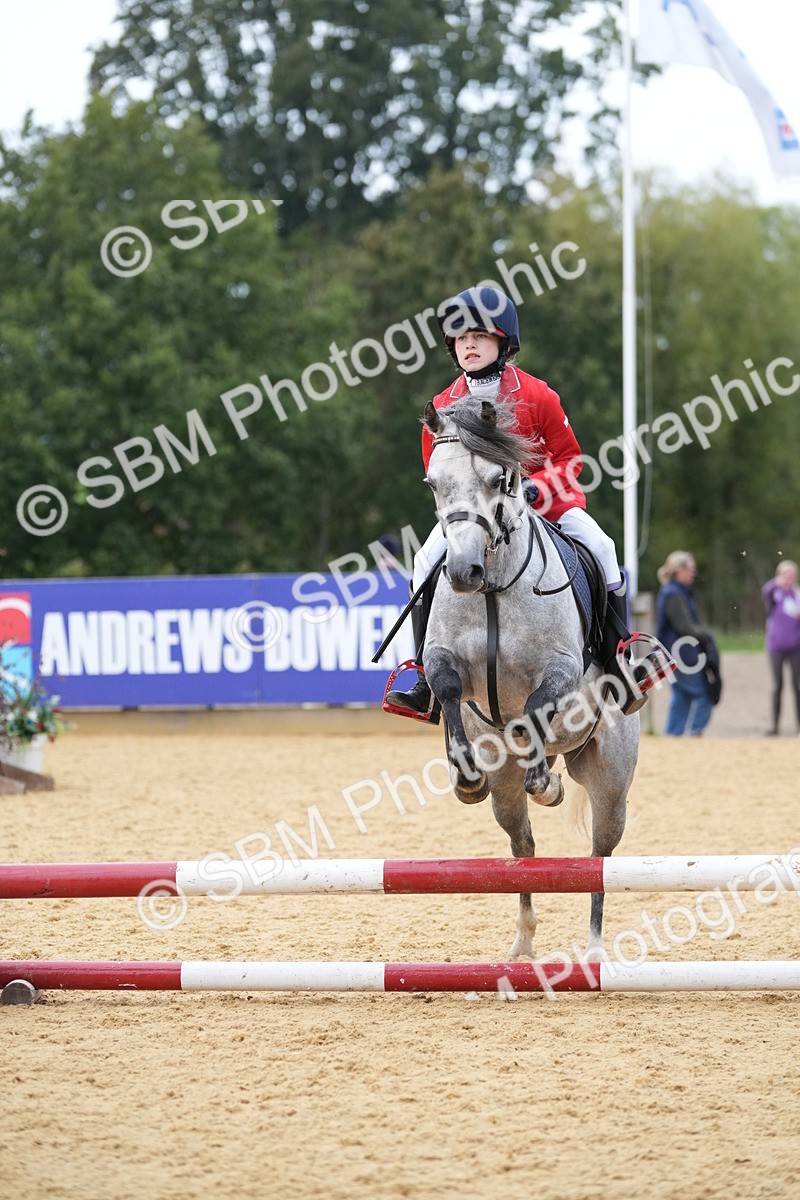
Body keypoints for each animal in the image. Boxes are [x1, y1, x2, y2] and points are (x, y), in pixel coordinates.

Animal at [421, 396, 639, 960]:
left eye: (499, 479)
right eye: (434, 482)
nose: (463, 572)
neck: (494, 589)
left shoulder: (559, 669)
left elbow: (535, 708)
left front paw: (546, 782)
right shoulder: (443, 661)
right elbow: (448, 691)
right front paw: (464, 774)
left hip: (612, 785)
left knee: (597, 860)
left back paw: (594, 950)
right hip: (506, 790)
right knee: (522, 848)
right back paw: (522, 945)